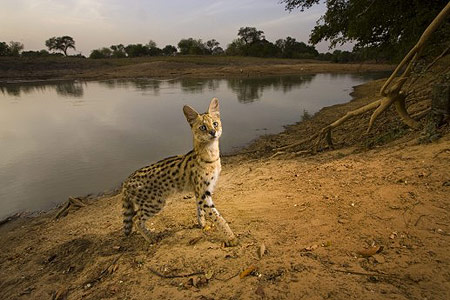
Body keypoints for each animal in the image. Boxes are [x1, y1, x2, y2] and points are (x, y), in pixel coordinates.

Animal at [121, 98, 237, 246]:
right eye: (203, 127)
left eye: (215, 124)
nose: (213, 132)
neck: (211, 156)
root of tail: (126, 181)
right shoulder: (203, 193)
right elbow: (217, 216)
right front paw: (231, 237)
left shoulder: (200, 192)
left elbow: (200, 211)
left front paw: (202, 224)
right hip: (155, 203)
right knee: (136, 219)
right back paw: (151, 238)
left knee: (135, 217)